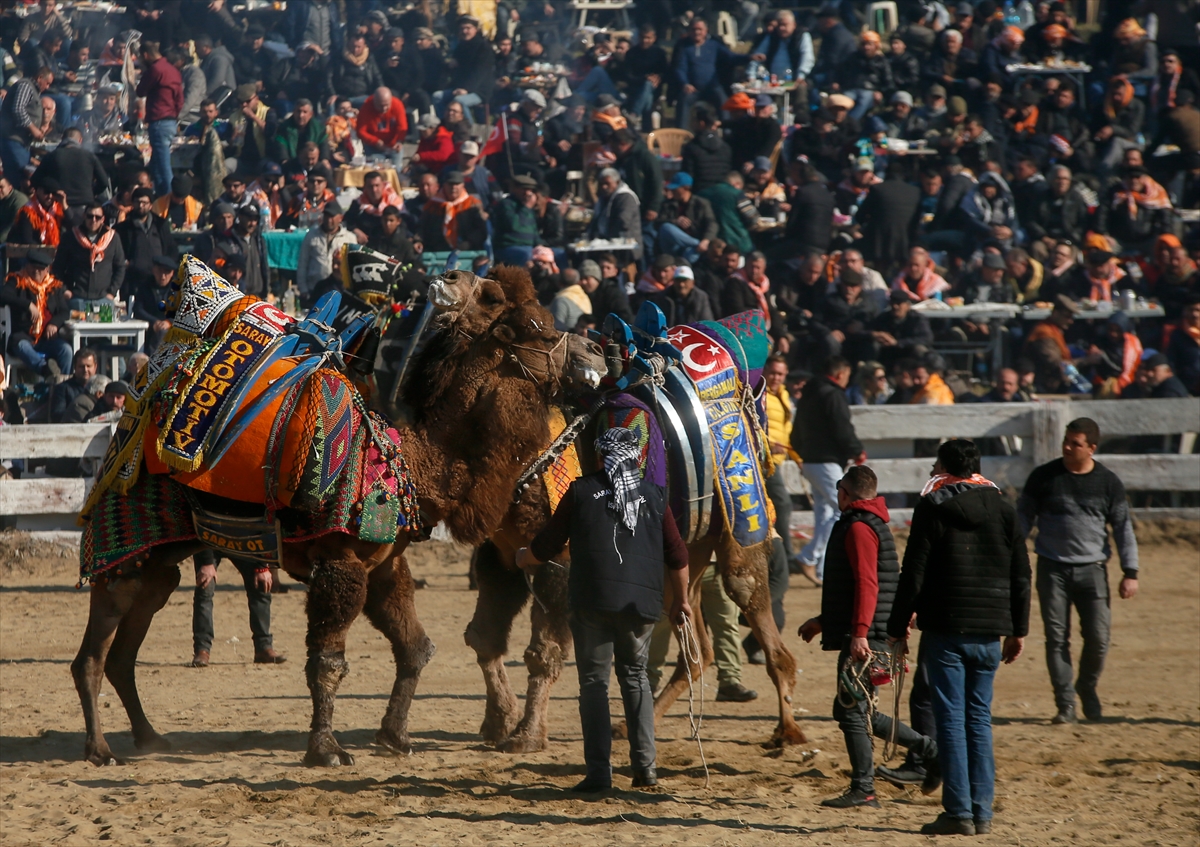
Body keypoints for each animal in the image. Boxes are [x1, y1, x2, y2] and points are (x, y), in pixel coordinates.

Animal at [70, 259, 604, 767]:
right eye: (538, 328)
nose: (596, 351)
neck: (409, 458)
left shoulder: (385, 562)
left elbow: (415, 648)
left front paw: (394, 737)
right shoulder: (341, 562)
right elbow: (327, 662)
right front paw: (326, 749)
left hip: (160, 564)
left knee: (123, 651)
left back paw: (148, 737)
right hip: (126, 548)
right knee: (92, 657)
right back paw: (101, 749)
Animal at [458, 302, 806, 743]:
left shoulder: (558, 559)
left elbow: (544, 652)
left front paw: (526, 735)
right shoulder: (500, 556)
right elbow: (483, 637)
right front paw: (497, 723)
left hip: (739, 514)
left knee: (755, 608)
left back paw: (788, 730)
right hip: (686, 549)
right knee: (696, 646)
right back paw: (637, 722)